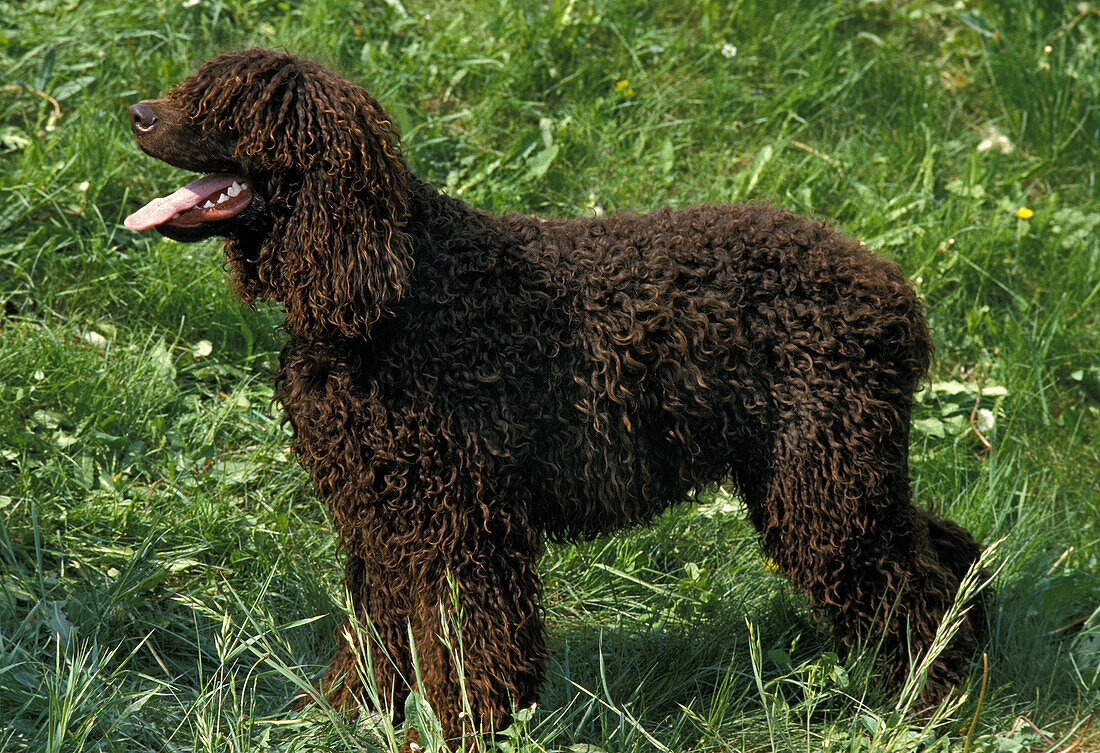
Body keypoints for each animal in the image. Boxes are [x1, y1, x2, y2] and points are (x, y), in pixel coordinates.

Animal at [124, 50, 985, 743]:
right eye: (193, 86)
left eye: (234, 106)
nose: (136, 113)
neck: (393, 289)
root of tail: (894, 293)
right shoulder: (380, 517)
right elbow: (377, 634)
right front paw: (344, 715)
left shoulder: (460, 523)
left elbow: (467, 646)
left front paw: (465, 730)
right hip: (828, 473)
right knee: (943, 547)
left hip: (825, 480)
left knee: (912, 584)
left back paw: (930, 702)